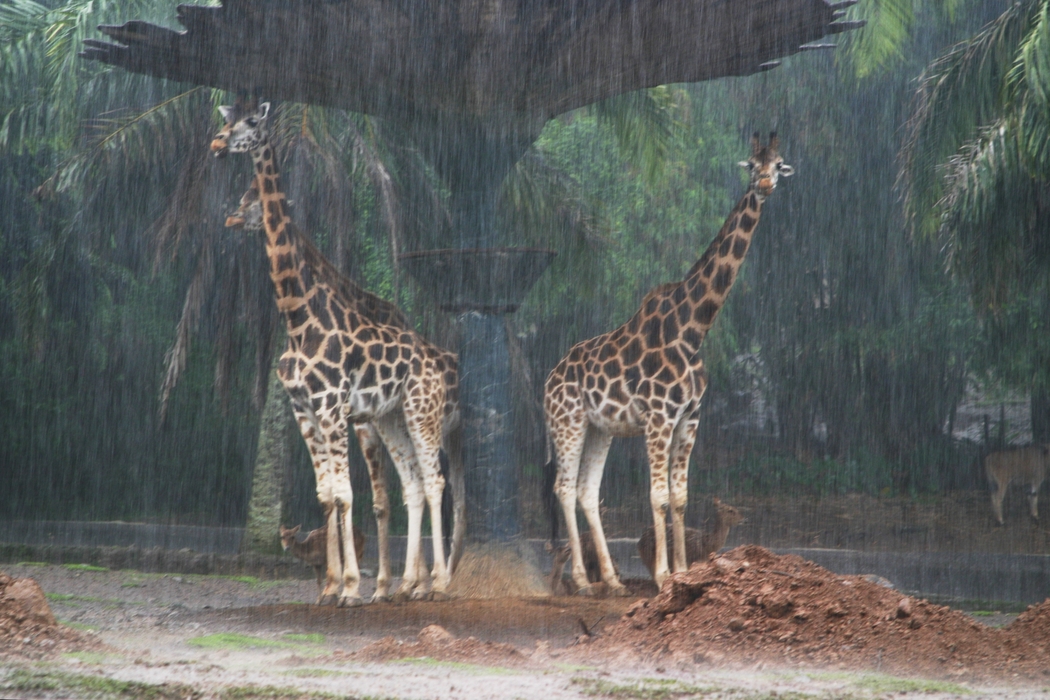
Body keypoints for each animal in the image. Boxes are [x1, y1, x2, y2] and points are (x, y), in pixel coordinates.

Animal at [211, 99, 461, 608]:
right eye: (226, 119)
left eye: (251, 122)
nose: (216, 143)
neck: (299, 317)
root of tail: (438, 361)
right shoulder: (304, 408)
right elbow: (327, 494)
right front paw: (331, 586)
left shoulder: (333, 407)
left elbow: (346, 494)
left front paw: (348, 586)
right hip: (394, 416)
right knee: (415, 486)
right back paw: (410, 583)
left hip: (421, 414)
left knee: (434, 482)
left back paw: (435, 583)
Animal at [546, 131, 789, 591]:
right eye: (752, 165)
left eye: (779, 164)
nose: (765, 186)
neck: (693, 329)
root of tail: (548, 378)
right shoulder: (658, 417)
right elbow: (658, 497)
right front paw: (662, 576)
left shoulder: (690, 418)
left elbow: (679, 498)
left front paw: (682, 571)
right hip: (567, 422)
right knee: (564, 488)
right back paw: (583, 581)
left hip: (599, 428)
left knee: (587, 491)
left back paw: (612, 580)